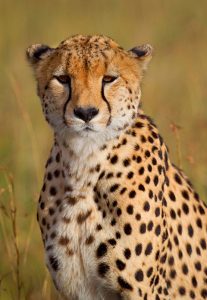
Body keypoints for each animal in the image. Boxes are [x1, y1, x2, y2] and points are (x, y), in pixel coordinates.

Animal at [26, 34, 207, 298]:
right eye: (63, 79)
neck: (84, 166)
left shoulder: (143, 290)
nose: (86, 112)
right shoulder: (77, 289)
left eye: (109, 79)